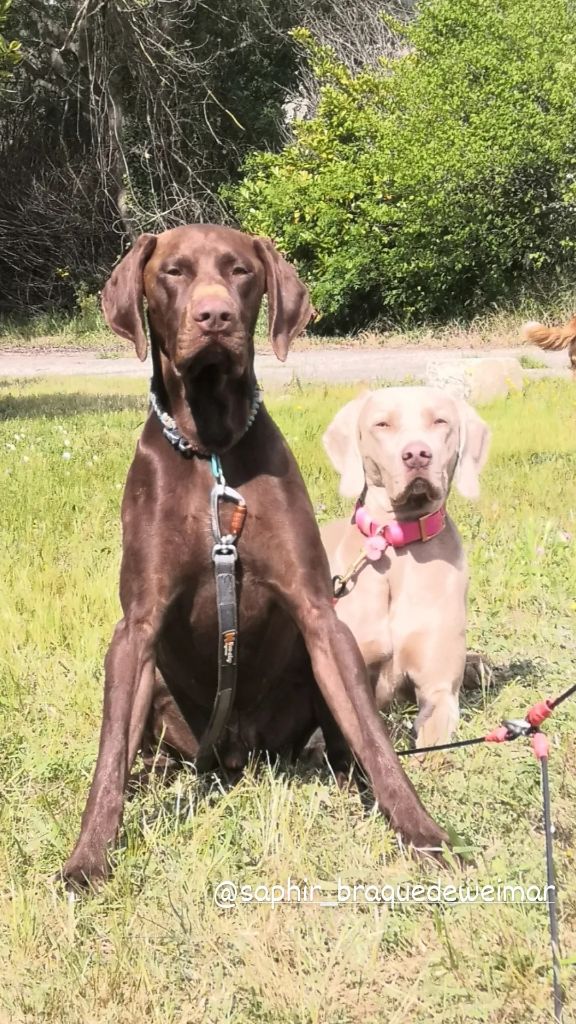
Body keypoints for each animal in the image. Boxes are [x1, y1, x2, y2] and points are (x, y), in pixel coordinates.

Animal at [60, 226, 444, 888]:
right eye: (174, 272)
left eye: (240, 271)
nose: (214, 316)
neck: (211, 449)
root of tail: (235, 753)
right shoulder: (136, 628)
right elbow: (108, 759)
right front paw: (87, 859)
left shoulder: (320, 615)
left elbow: (373, 737)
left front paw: (418, 830)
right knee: (142, 755)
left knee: (343, 743)